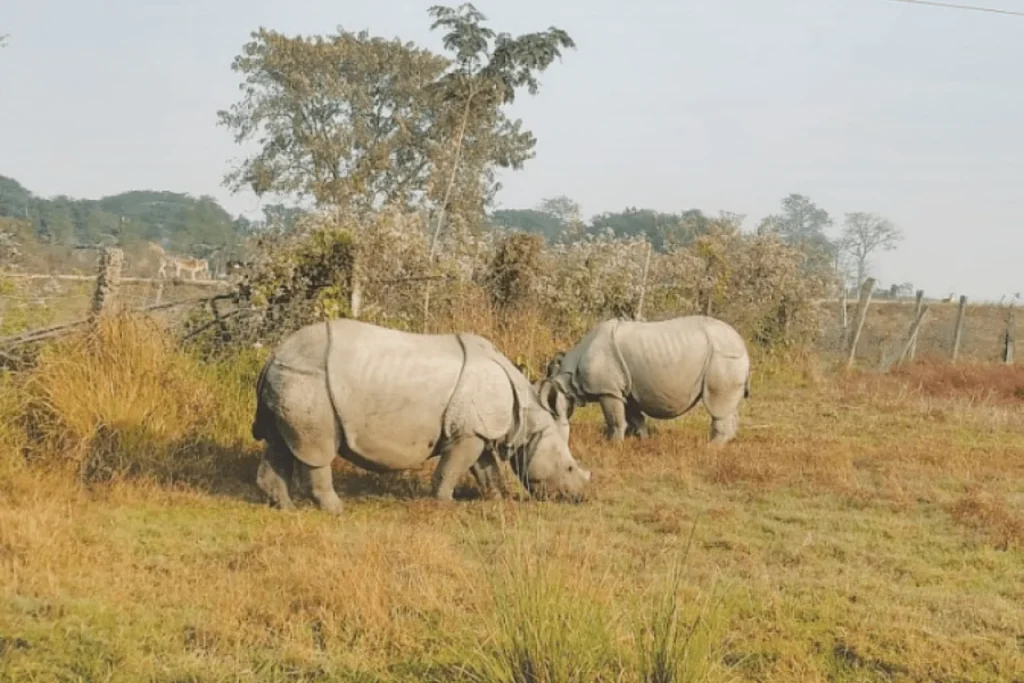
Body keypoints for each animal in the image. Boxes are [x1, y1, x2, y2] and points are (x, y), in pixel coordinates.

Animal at [251, 318, 591, 514]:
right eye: (569, 468)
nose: (578, 498)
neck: (529, 419)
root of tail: (273, 356)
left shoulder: (478, 429)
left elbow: (486, 469)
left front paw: (498, 499)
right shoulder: (468, 433)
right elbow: (452, 468)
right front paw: (445, 503)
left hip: (290, 377)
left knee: (280, 443)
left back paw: (285, 508)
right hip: (312, 380)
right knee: (317, 449)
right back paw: (336, 509)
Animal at [545, 315, 751, 444]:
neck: (569, 374)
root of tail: (743, 345)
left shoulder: (608, 391)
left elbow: (615, 419)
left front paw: (612, 443)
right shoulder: (625, 389)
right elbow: (635, 417)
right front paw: (642, 439)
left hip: (723, 356)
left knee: (717, 406)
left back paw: (712, 447)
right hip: (727, 355)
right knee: (728, 406)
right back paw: (727, 443)